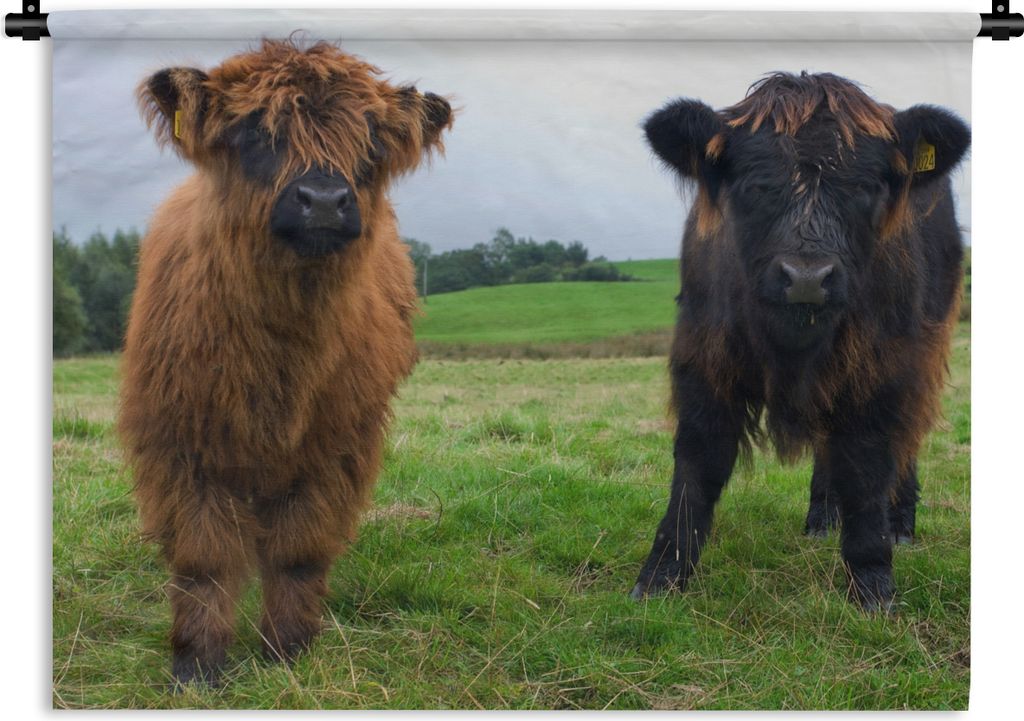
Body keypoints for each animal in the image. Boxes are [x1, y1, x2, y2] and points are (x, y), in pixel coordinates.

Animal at [118, 40, 453, 684]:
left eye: (371, 142)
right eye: (254, 131)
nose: (323, 200)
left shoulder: (335, 447)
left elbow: (299, 550)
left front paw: (288, 649)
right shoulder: (181, 442)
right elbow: (203, 557)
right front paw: (197, 664)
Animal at [631, 72, 969, 611]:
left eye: (865, 186)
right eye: (755, 185)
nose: (807, 278)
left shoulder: (882, 369)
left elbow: (868, 466)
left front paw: (872, 584)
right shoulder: (704, 360)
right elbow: (698, 463)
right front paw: (662, 575)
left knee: (906, 439)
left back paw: (900, 526)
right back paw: (821, 518)